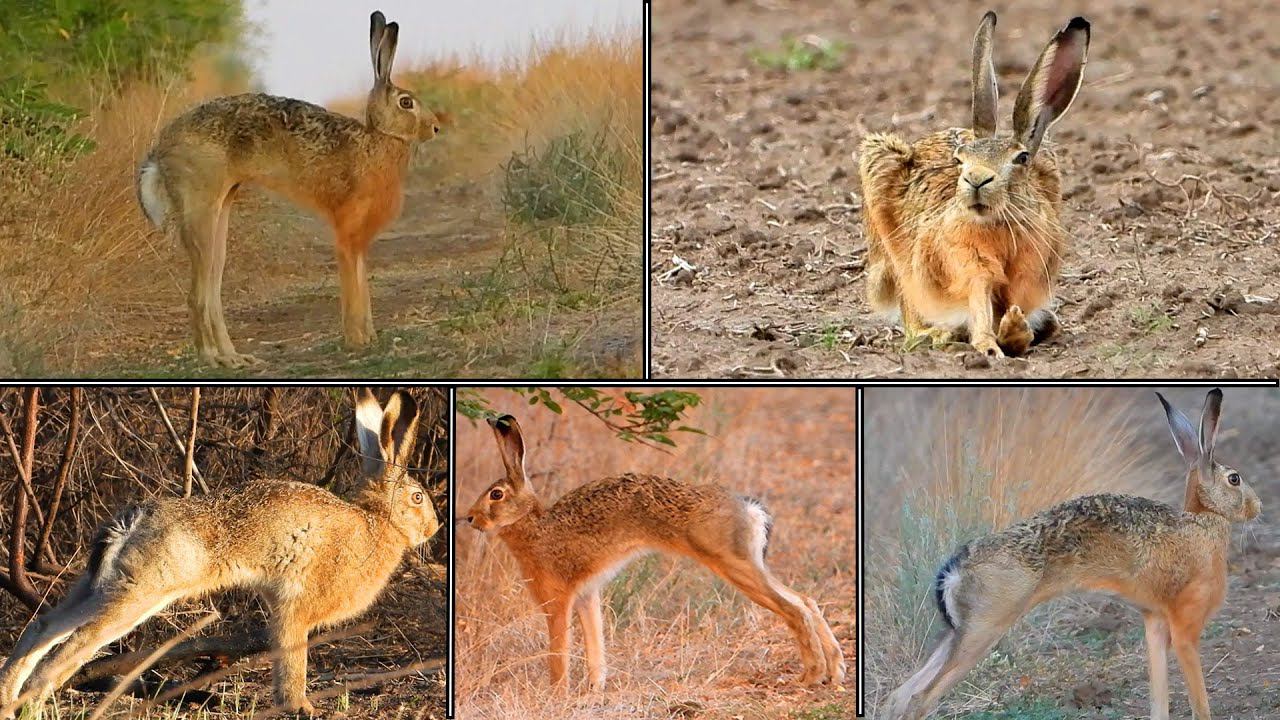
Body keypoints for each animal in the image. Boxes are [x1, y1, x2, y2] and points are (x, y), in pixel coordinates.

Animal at [0, 388, 440, 718]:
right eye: (418, 498)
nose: (434, 528)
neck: (378, 521)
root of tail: (134, 520)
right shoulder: (296, 608)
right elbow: (292, 657)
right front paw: (301, 707)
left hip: (101, 586)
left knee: (42, 628)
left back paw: (8, 699)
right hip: (139, 591)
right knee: (67, 653)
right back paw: (31, 705)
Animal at [136, 11, 441, 367]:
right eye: (406, 103)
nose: (435, 128)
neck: (378, 138)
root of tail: (161, 150)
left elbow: (362, 279)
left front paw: (369, 338)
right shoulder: (348, 227)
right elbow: (353, 282)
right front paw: (357, 341)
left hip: (221, 207)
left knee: (212, 287)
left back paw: (236, 358)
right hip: (199, 203)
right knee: (196, 293)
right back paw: (213, 359)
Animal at [464, 414, 846, 690]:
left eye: (496, 494)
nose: (469, 518)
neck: (533, 525)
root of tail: (749, 508)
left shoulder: (557, 600)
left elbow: (558, 651)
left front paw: (557, 693)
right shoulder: (587, 595)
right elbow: (595, 645)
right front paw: (593, 689)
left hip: (732, 563)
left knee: (794, 611)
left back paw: (811, 676)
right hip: (748, 563)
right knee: (806, 601)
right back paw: (836, 671)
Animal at [858, 12, 1090, 358]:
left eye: (1021, 158)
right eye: (960, 159)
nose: (976, 179)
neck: (997, 223)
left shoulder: (1030, 270)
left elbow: (1016, 302)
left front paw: (1015, 330)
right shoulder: (968, 265)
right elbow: (978, 297)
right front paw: (988, 345)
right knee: (910, 312)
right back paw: (938, 334)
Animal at [883, 388, 1261, 720]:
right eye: (1234, 479)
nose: (1257, 508)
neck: (1204, 520)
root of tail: (956, 569)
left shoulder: (1154, 620)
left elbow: (1159, 696)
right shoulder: (1186, 623)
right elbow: (1197, 697)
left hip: (961, 631)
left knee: (899, 696)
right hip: (986, 626)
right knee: (920, 698)